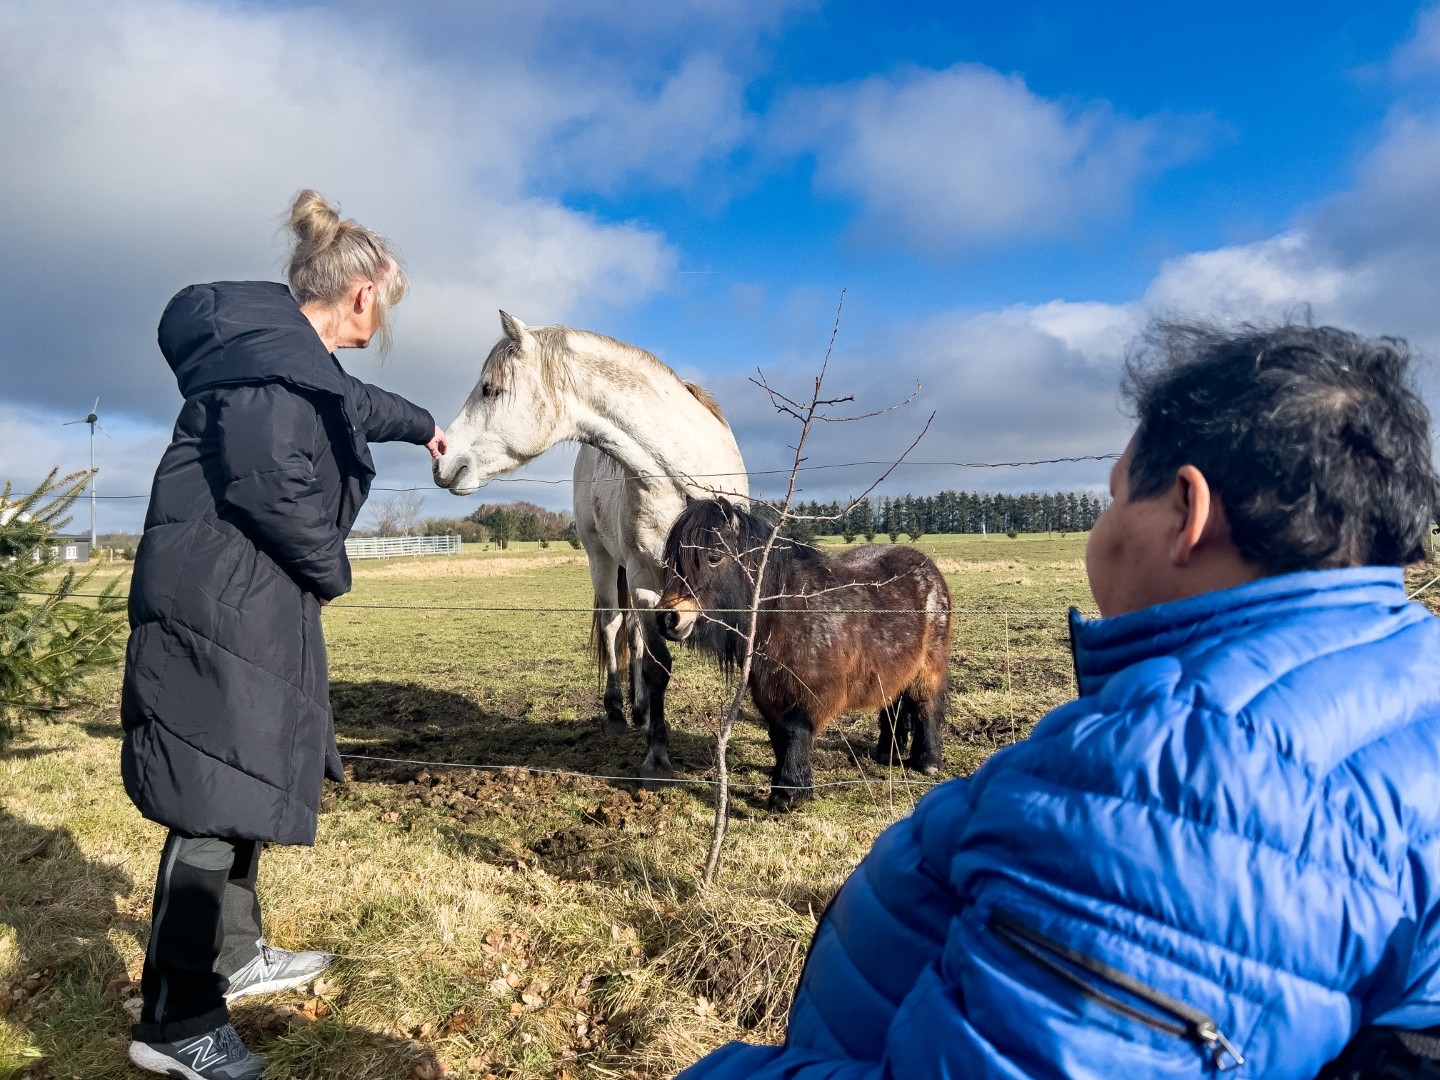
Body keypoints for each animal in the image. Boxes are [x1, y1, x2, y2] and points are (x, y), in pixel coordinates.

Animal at [432, 312, 749, 779]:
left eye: (490, 389)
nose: (442, 460)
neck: (684, 482)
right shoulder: (643, 578)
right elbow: (657, 666)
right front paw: (657, 757)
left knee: (633, 637)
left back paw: (640, 711)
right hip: (604, 562)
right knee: (615, 626)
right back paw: (619, 712)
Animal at [656, 497, 952, 811]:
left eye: (713, 557)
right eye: (670, 560)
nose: (667, 618)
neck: (787, 612)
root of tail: (926, 565)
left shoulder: (805, 694)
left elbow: (794, 733)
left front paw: (788, 793)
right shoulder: (769, 693)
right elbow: (778, 737)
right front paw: (784, 785)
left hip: (928, 666)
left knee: (926, 706)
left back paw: (928, 762)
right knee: (893, 705)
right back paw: (887, 755)